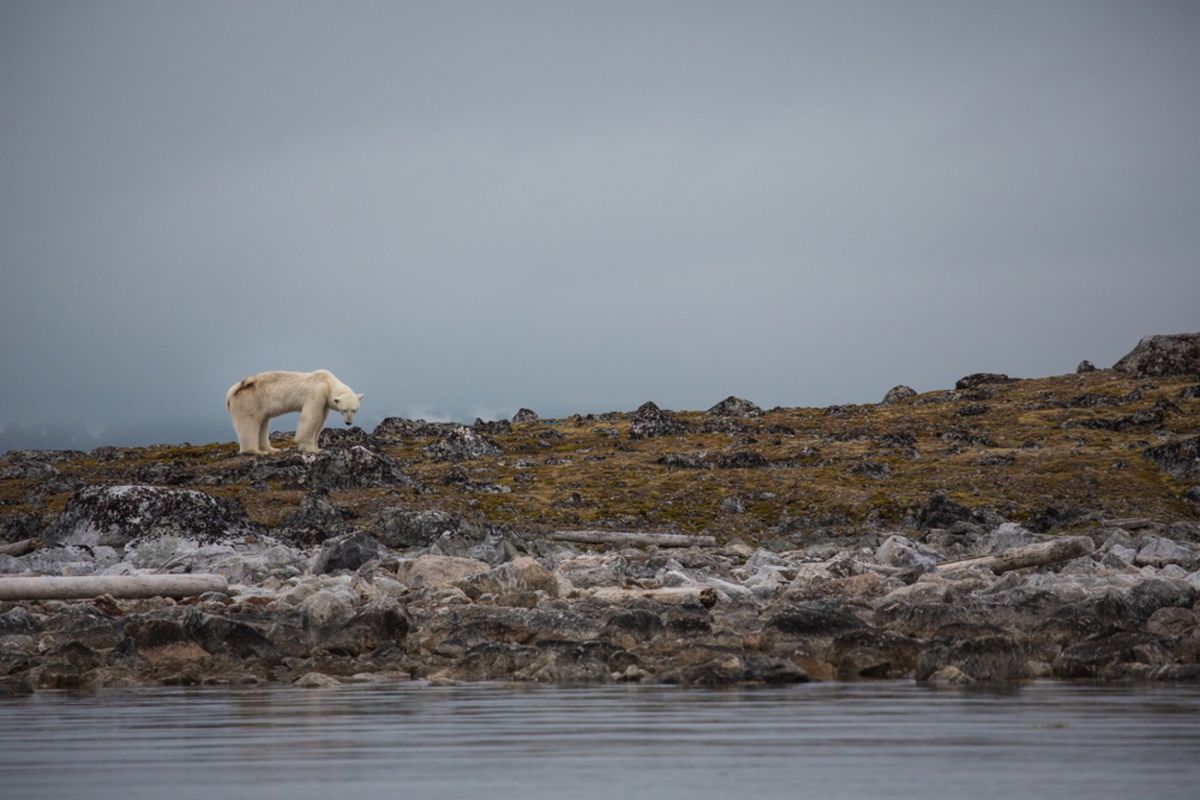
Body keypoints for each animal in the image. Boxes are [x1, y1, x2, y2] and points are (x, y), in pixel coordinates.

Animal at [225, 371, 362, 455]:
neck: (328, 382)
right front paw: (308, 448)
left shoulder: (325, 403)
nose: (348, 423)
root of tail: (232, 391)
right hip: (249, 400)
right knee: (249, 423)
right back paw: (255, 451)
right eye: (344, 409)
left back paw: (272, 449)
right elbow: (312, 417)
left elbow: (321, 421)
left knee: (262, 423)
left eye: (354, 410)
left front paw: (317, 448)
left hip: (259, 405)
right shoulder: (317, 393)